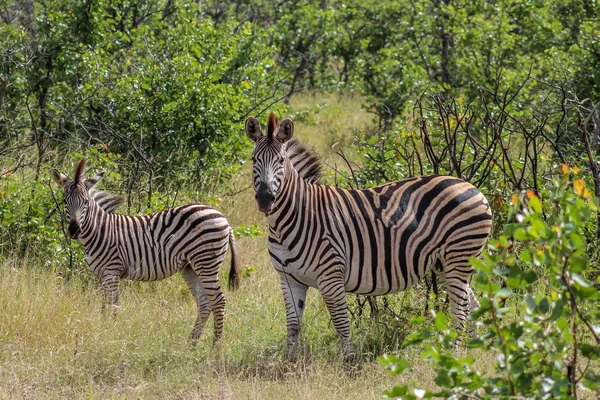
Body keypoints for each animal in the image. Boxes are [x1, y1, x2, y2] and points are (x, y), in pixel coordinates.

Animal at [51, 158, 239, 342]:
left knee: (219, 302)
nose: (74, 230)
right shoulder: (102, 275)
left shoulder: (112, 271)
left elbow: (113, 307)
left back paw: (216, 346)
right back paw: (191, 343)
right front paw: (103, 332)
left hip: (206, 262)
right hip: (190, 267)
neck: (100, 230)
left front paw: (108, 335)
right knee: (205, 302)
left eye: (85, 202)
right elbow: (105, 307)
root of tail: (223, 217)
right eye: (65, 201)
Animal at [244, 112, 492, 356]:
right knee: (472, 303)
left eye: (281, 161)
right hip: (445, 263)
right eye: (254, 160)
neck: (289, 220)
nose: (265, 198)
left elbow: (341, 322)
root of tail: (473, 187)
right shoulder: (289, 279)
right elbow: (293, 326)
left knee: (460, 308)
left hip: (459, 256)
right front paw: (289, 362)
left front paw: (349, 360)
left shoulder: (331, 275)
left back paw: (456, 352)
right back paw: (472, 348)